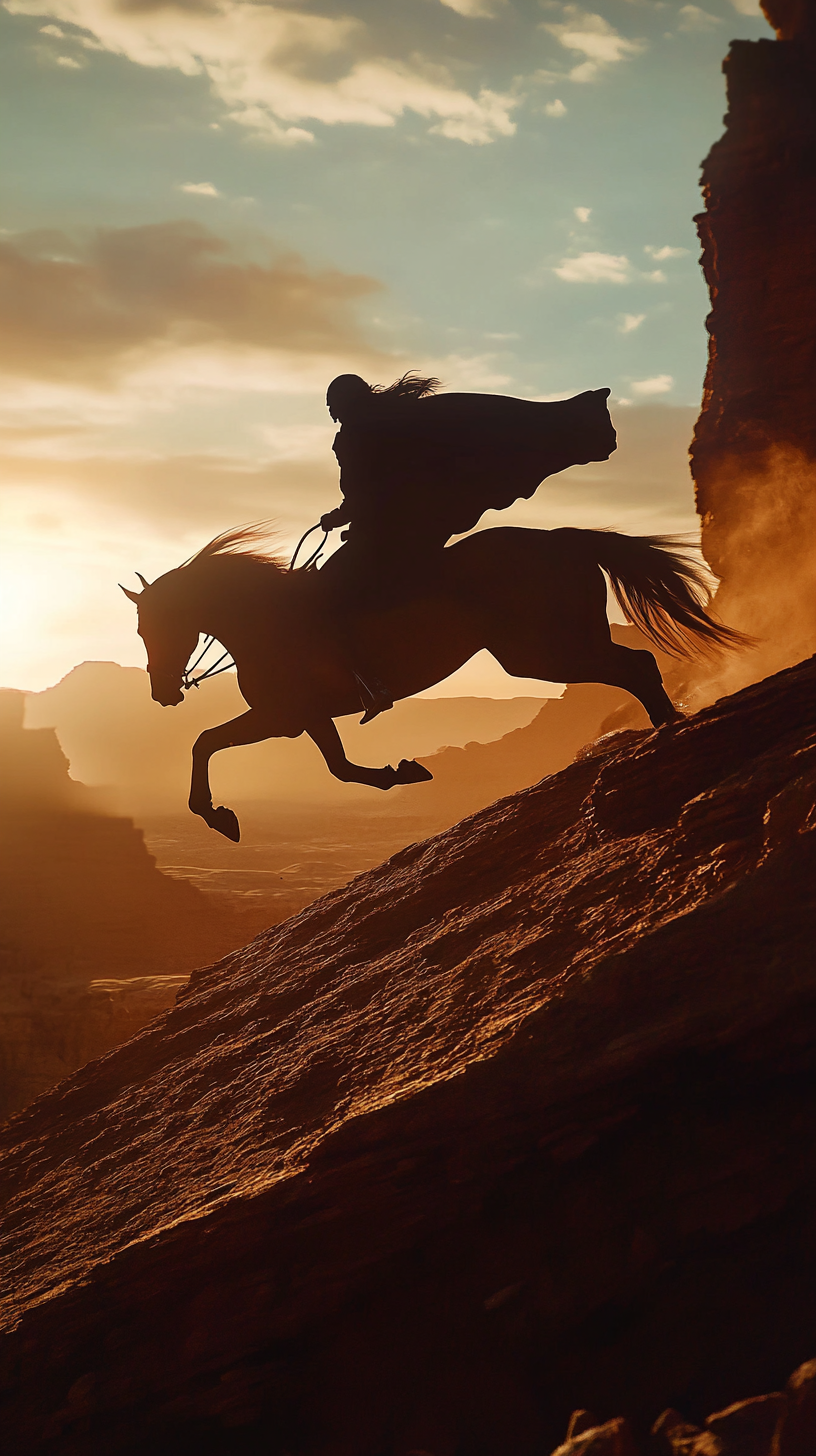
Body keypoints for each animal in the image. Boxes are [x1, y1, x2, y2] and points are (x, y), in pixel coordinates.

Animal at [122, 524, 746, 844]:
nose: (163, 692)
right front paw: (400, 772)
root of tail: (559, 538)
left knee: (635, 667)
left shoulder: (282, 717)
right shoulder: (307, 718)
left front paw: (214, 815)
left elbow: (204, 742)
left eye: (154, 626)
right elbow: (339, 767)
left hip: (543, 651)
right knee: (635, 667)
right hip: (548, 649)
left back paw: (666, 731)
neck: (265, 619)